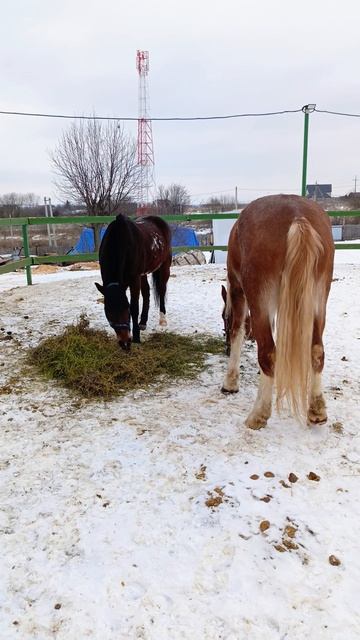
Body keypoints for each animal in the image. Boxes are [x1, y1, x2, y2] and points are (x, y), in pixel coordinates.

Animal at [95, 214, 172, 350]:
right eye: (108, 312)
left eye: (126, 309)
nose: (125, 342)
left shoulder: (134, 279)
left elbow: (135, 307)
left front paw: (136, 337)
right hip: (143, 274)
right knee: (146, 292)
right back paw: (143, 322)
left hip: (164, 267)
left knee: (162, 289)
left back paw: (162, 319)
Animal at [222, 192, 334, 428]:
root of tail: (298, 217)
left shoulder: (238, 291)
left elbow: (238, 331)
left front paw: (230, 382)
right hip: (319, 300)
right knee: (316, 350)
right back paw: (317, 409)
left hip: (259, 298)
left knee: (268, 352)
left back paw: (258, 414)